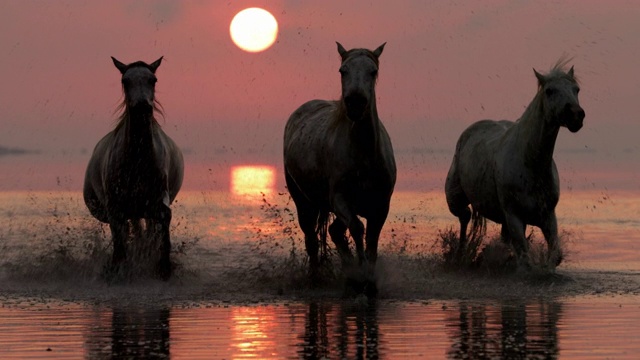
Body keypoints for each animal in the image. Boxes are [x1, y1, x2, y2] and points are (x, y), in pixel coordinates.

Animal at [84, 57, 184, 282]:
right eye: (125, 80)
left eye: (153, 79)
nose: (141, 108)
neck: (138, 160)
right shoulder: (115, 208)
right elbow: (120, 246)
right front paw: (117, 269)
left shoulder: (158, 199)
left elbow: (163, 223)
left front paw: (164, 268)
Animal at [284, 43, 396, 284]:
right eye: (342, 70)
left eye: (373, 71)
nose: (355, 103)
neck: (364, 155)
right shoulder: (340, 199)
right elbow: (358, 229)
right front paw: (362, 274)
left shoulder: (381, 206)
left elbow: (371, 241)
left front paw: (368, 278)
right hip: (304, 203)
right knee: (312, 238)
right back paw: (316, 277)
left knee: (334, 232)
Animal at [444, 59, 584, 268]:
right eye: (549, 90)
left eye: (576, 89)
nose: (576, 115)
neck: (531, 165)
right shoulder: (514, 217)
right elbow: (525, 260)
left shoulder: (547, 216)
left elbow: (554, 256)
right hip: (455, 200)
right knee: (464, 217)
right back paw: (461, 254)